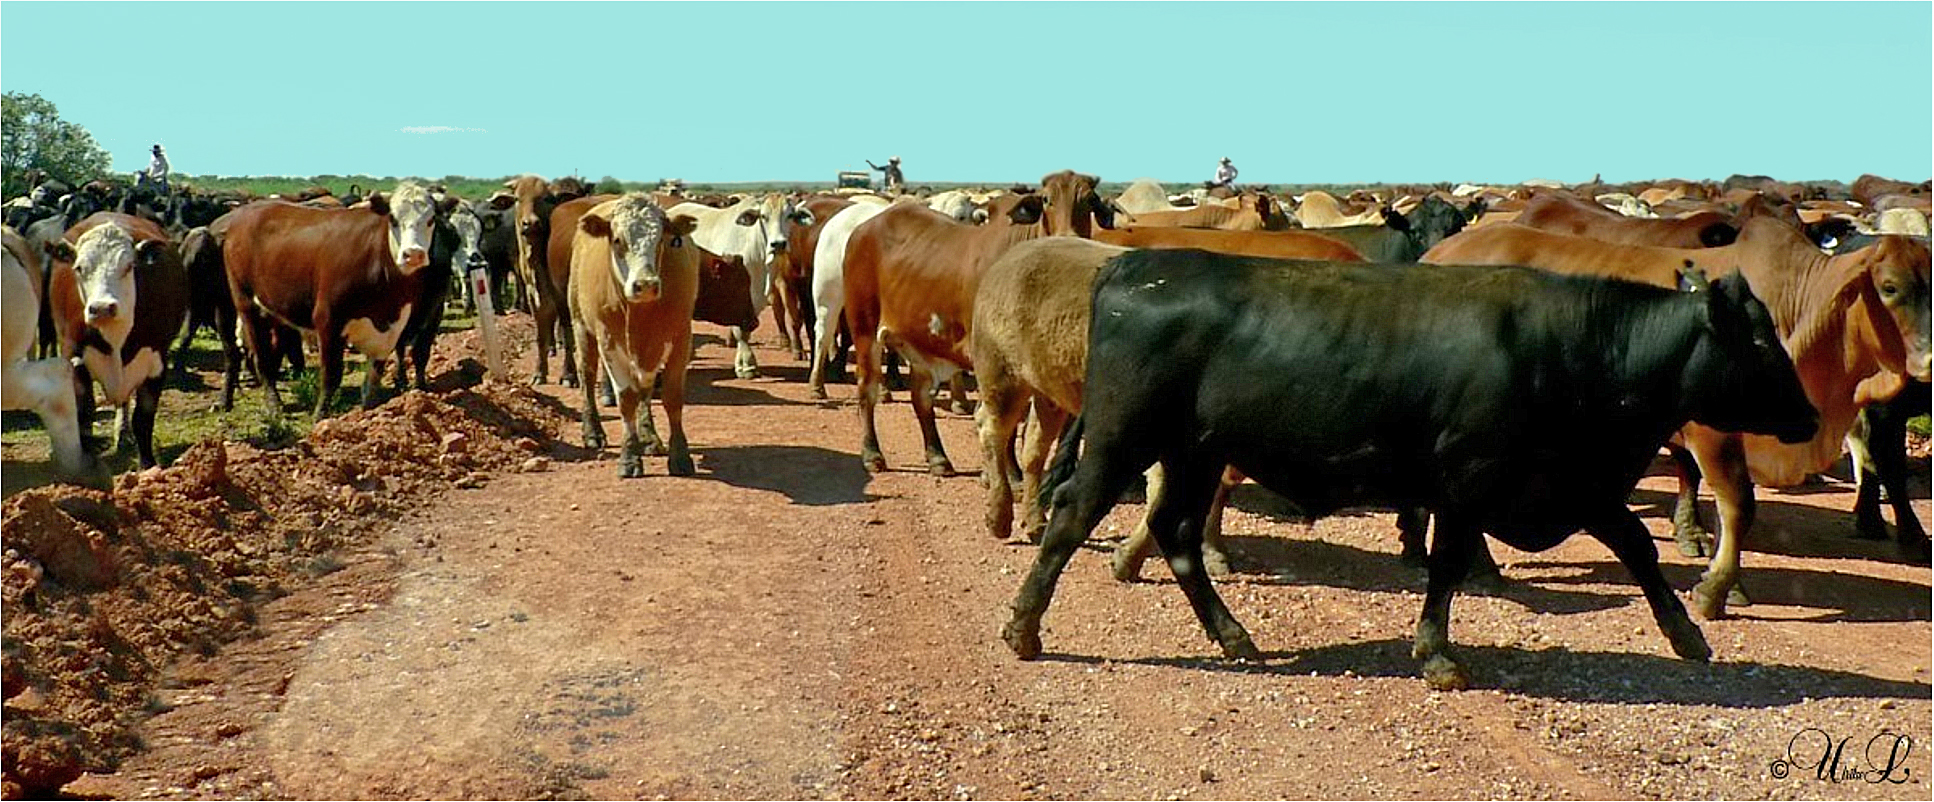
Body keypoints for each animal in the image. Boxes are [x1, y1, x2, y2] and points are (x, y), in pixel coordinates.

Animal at [220, 183, 442, 421]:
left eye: (431, 219)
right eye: (393, 218)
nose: (414, 254)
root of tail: (247, 212)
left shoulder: (391, 329)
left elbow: (372, 381)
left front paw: (369, 414)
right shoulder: (328, 321)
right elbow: (331, 374)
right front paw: (321, 416)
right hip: (246, 303)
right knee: (261, 356)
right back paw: (273, 405)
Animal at [564, 196, 703, 477]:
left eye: (662, 239)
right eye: (617, 240)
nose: (646, 284)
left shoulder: (680, 335)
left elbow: (671, 397)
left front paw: (679, 454)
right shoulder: (608, 339)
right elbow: (627, 398)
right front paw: (629, 457)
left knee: (644, 389)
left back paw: (648, 437)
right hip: (581, 324)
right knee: (587, 375)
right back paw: (593, 431)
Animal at [843, 166, 1113, 473]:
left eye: (1090, 200)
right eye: (1046, 199)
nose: (1068, 236)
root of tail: (864, 228)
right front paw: (1011, 474)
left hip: (918, 340)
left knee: (921, 397)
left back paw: (938, 457)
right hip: (864, 328)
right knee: (867, 389)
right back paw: (872, 453)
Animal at [1005, 251, 1817, 691]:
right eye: (1761, 345)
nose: (1809, 419)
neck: (1579, 348)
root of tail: (1133, 264)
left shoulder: (1573, 484)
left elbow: (1638, 546)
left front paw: (1686, 634)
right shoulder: (1469, 482)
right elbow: (1448, 564)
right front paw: (1436, 654)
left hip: (1195, 453)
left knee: (1174, 532)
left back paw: (1234, 636)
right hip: (1123, 438)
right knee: (1072, 518)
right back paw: (1024, 627)